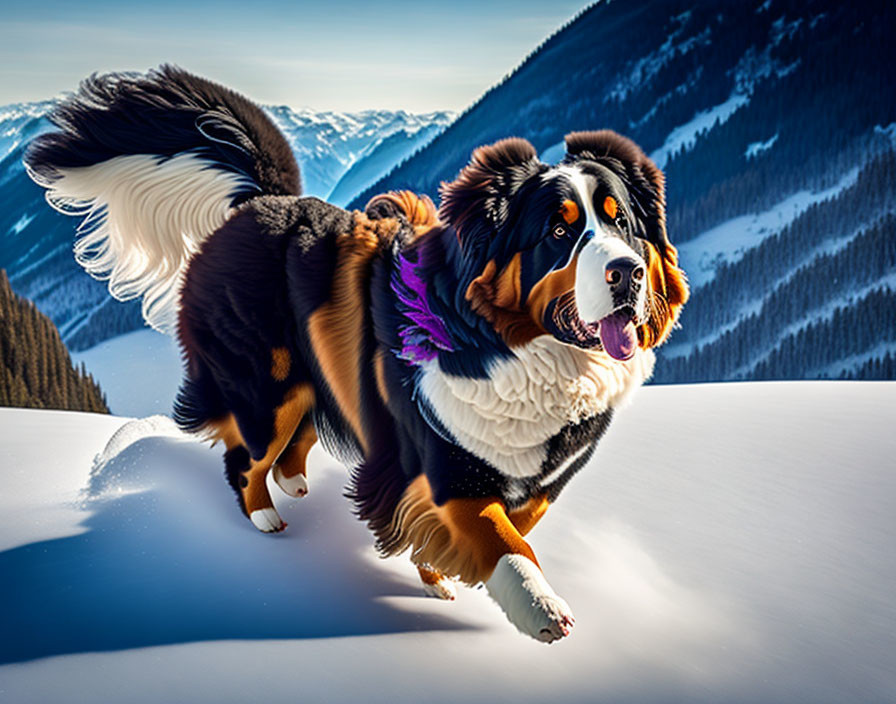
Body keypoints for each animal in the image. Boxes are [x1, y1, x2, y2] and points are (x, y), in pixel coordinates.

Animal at [26, 66, 688, 644]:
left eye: (624, 225)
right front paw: (541, 607)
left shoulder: (540, 479)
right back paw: (265, 515)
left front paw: (437, 572)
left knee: (297, 435)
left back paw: (293, 482)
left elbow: (505, 525)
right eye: (558, 231)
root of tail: (258, 204)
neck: (514, 350)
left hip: (315, 378)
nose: (627, 273)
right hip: (267, 384)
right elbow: (503, 539)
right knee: (245, 457)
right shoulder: (447, 464)